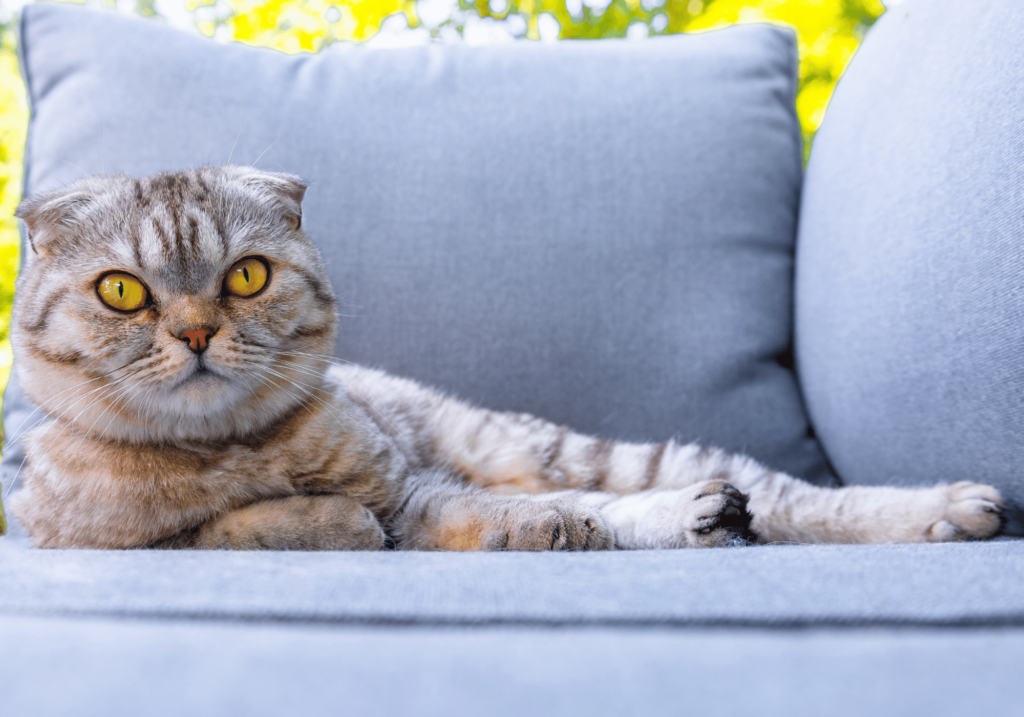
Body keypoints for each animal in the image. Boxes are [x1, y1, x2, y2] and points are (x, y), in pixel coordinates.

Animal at [2, 166, 1007, 549]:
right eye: (123, 291)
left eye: (246, 275)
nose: (197, 333)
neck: (227, 448)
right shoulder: (74, 534)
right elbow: (233, 528)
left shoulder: (406, 489)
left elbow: (486, 514)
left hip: (557, 448)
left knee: (786, 498)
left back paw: (948, 506)